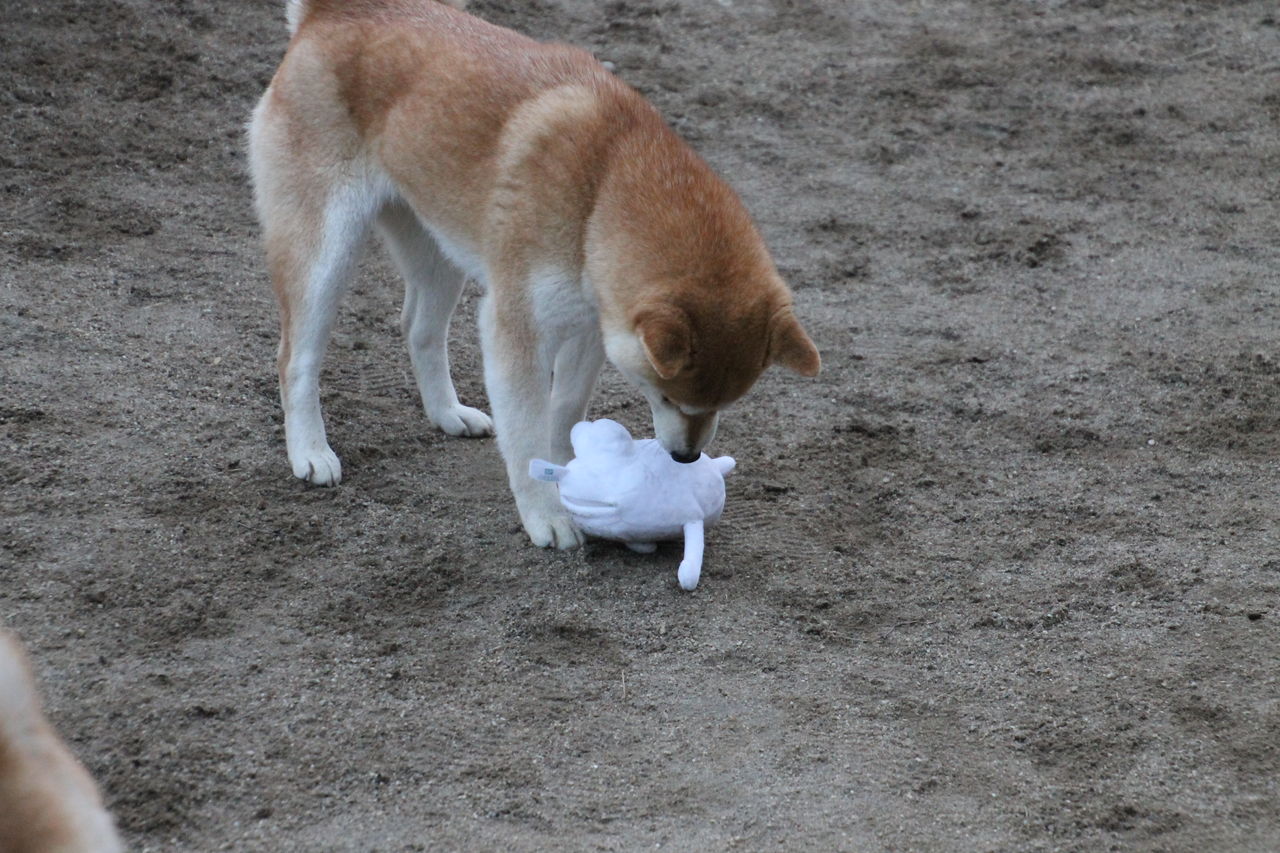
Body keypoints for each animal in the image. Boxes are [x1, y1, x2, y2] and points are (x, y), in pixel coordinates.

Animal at [249, 0, 820, 548]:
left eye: (728, 403)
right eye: (664, 397)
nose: (685, 458)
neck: (602, 186)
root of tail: (337, 11)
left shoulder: (593, 327)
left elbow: (562, 414)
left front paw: (571, 474)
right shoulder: (516, 330)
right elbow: (526, 434)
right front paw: (547, 514)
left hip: (438, 247)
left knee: (418, 329)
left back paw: (447, 412)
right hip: (324, 253)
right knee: (295, 359)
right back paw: (310, 450)